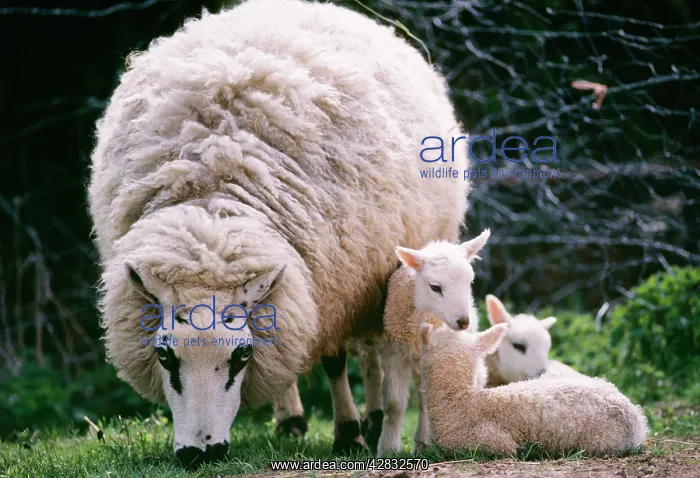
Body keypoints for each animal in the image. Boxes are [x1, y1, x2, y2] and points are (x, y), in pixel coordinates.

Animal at [87, 0, 470, 464]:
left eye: (241, 356)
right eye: (165, 356)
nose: (201, 453)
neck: (211, 210)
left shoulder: (335, 283)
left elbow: (335, 361)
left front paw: (348, 433)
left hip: (374, 278)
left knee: (370, 350)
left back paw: (372, 418)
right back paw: (292, 418)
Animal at [375, 230, 491, 456]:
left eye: (470, 282)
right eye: (435, 287)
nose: (464, 322)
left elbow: (429, 401)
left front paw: (425, 444)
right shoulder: (394, 352)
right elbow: (394, 404)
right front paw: (388, 449)